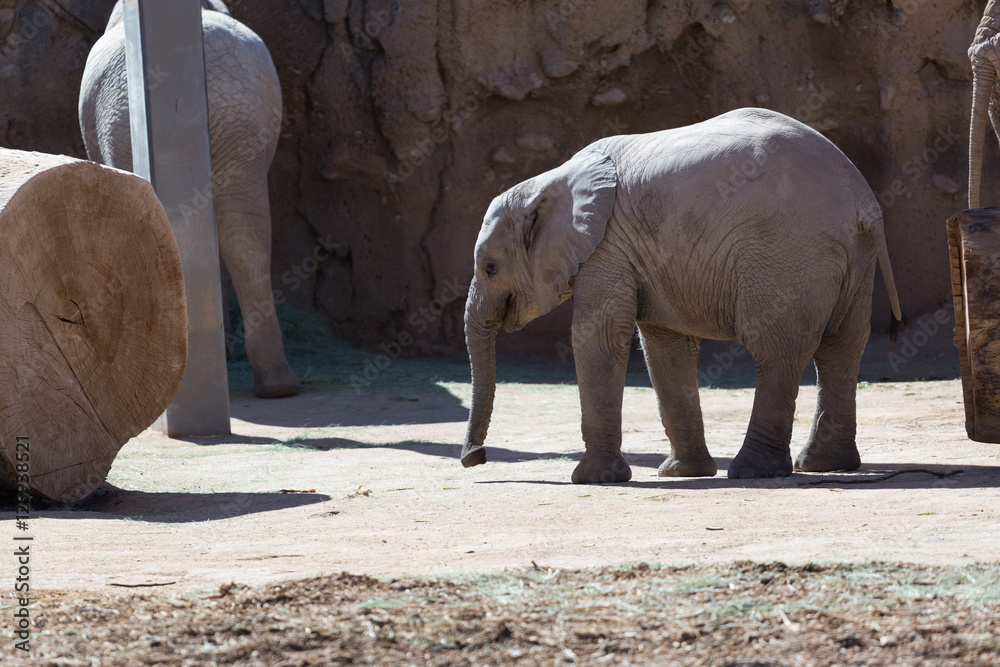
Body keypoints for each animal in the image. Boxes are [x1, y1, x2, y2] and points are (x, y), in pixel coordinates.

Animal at [460, 108, 904, 483]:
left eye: (490, 267)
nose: (474, 458)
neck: (548, 182)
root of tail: (864, 203)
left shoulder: (607, 248)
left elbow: (598, 337)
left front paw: (593, 480)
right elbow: (663, 345)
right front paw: (681, 473)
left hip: (787, 253)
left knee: (774, 348)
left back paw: (753, 471)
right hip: (852, 260)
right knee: (841, 348)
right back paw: (826, 466)